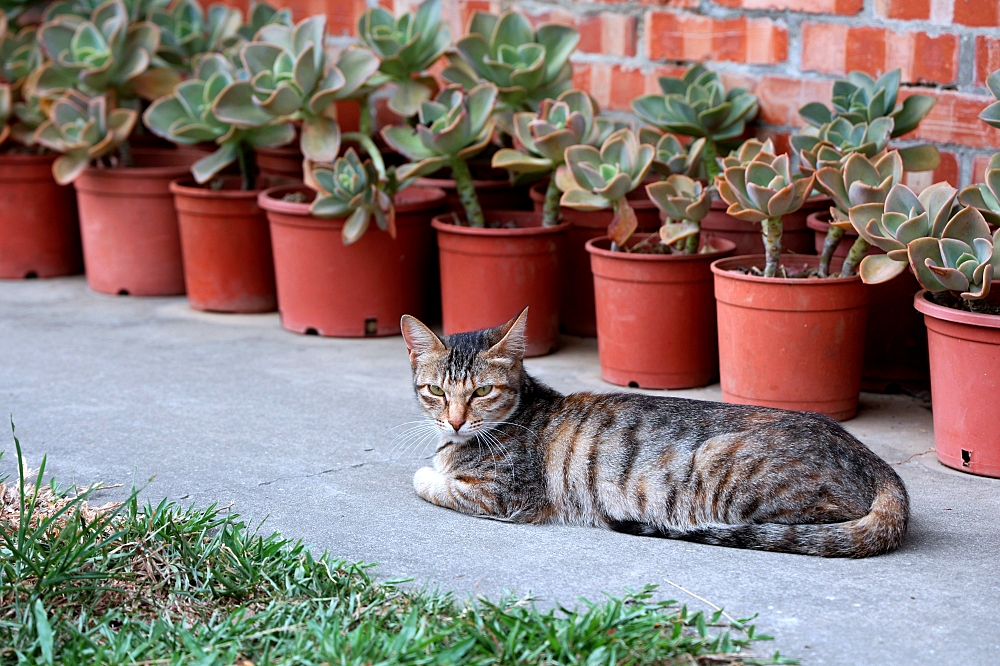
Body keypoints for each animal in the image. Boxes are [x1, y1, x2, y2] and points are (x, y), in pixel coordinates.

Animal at [398, 306, 908, 556]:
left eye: (482, 390)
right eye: (436, 391)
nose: (455, 420)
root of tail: (877, 464)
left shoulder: (505, 496)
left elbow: (430, 481)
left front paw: (431, 472)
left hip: (727, 470)